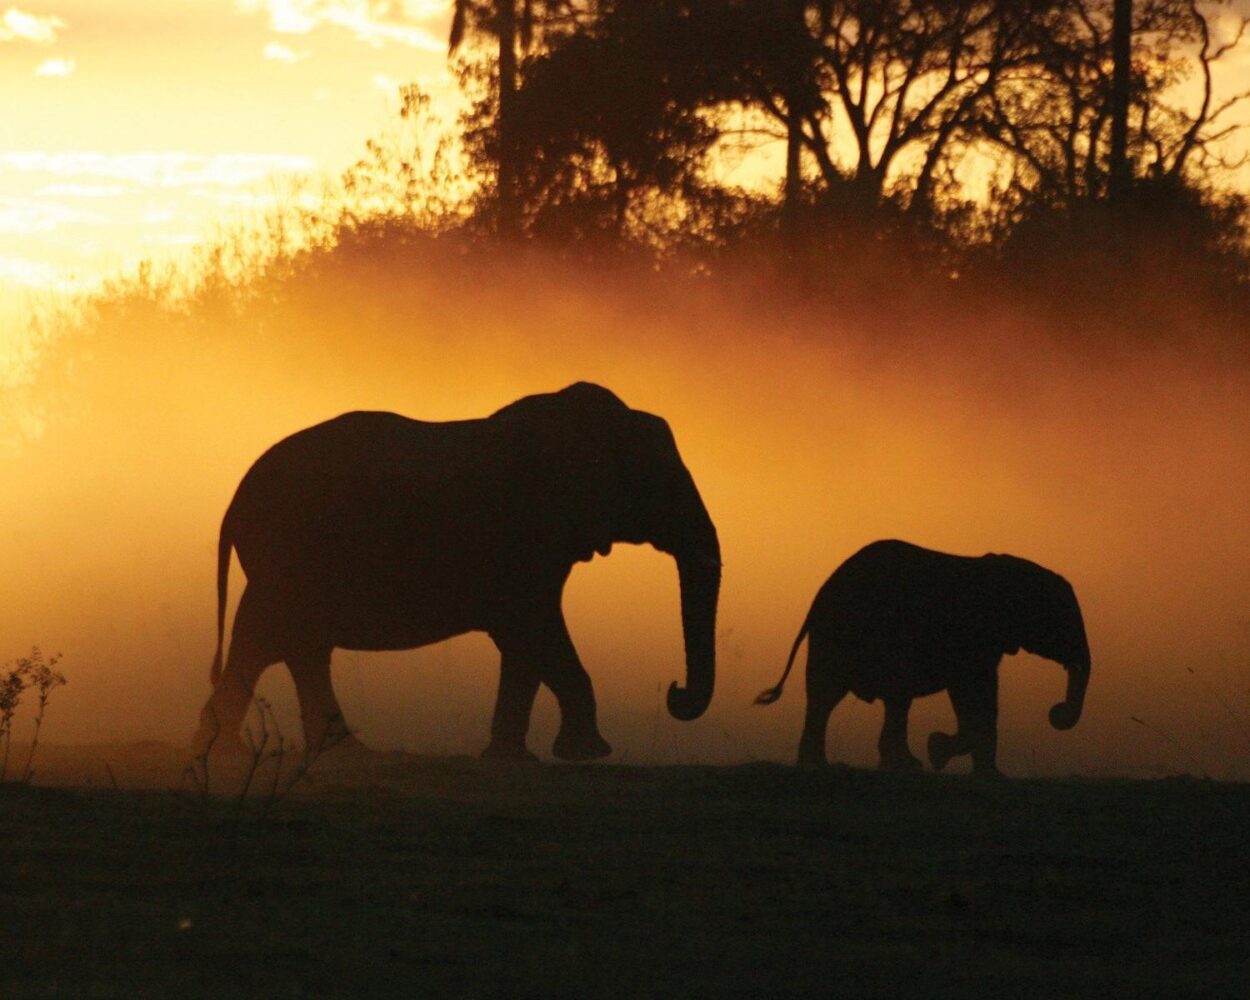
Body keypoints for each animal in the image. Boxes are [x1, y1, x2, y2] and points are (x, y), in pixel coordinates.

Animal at [195, 382, 725, 760]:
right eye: (663, 485)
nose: (675, 692)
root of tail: (235, 499)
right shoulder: (523, 536)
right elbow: (534, 628)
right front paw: (588, 755)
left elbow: (525, 642)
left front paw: (512, 760)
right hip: (289, 553)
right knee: (276, 642)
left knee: (284, 645)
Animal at [755, 540, 1090, 775]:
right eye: (1064, 622)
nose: (1056, 712)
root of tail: (817, 600)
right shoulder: (972, 636)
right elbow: (972, 691)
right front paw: (938, 751)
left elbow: (983, 696)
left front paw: (991, 775)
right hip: (842, 636)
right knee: (840, 696)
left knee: (846, 699)